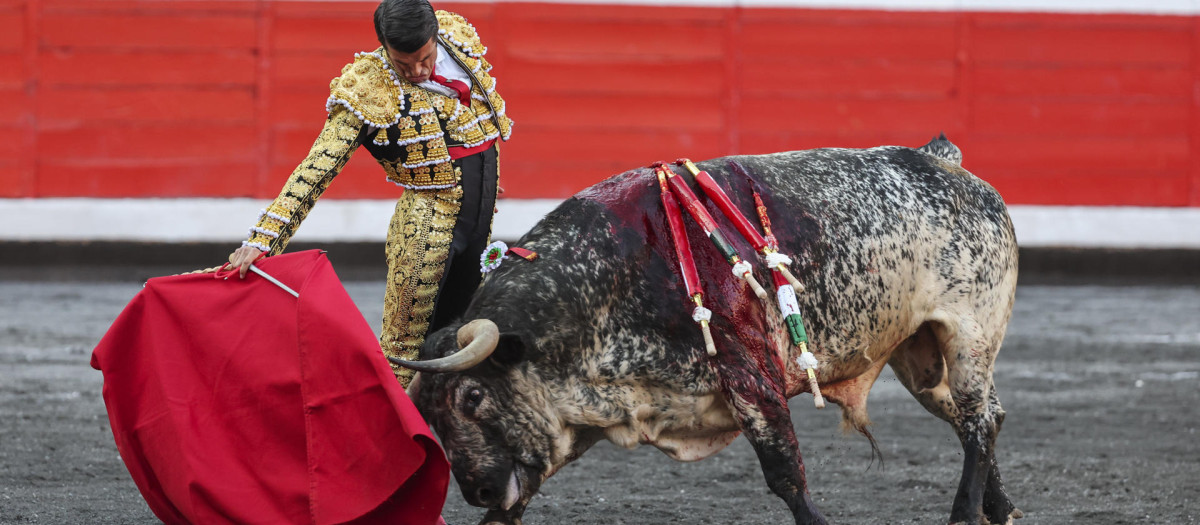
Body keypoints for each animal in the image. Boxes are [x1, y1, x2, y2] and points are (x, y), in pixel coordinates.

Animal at [393, 136, 1022, 525]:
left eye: (473, 397)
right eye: (429, 412)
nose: (474, 489)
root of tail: (946, 163)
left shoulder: (751, 377)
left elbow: (786, 475)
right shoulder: (589, 411)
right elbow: (514, 504)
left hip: (969, 337)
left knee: (979, 421)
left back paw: (963, 515)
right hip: (920, 358)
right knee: (978, 421)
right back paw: (1000, 509)